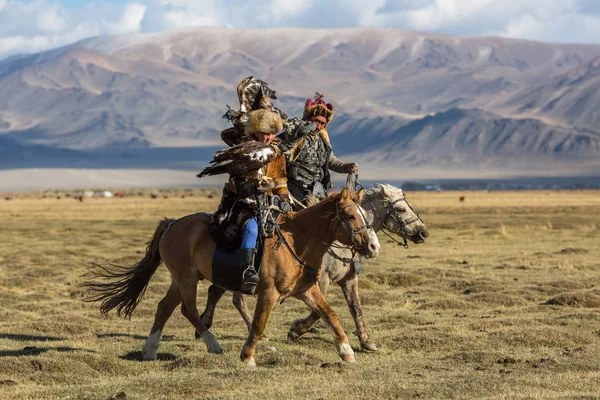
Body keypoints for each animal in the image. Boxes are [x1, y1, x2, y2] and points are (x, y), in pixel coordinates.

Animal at [84, 188, 380, 366]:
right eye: (350, 215)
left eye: (365, 214)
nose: (373, 246)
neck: (296, 241)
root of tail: (171, 224)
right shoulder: (268, 292)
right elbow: (259, 323)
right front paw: (248, 357)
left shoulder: (306, 290)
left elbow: (330, 314)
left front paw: (347, 351)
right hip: (186, 278)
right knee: (188, 309)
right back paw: (213, 345)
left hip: (180, 279)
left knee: (164, 307)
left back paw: (150, 350)